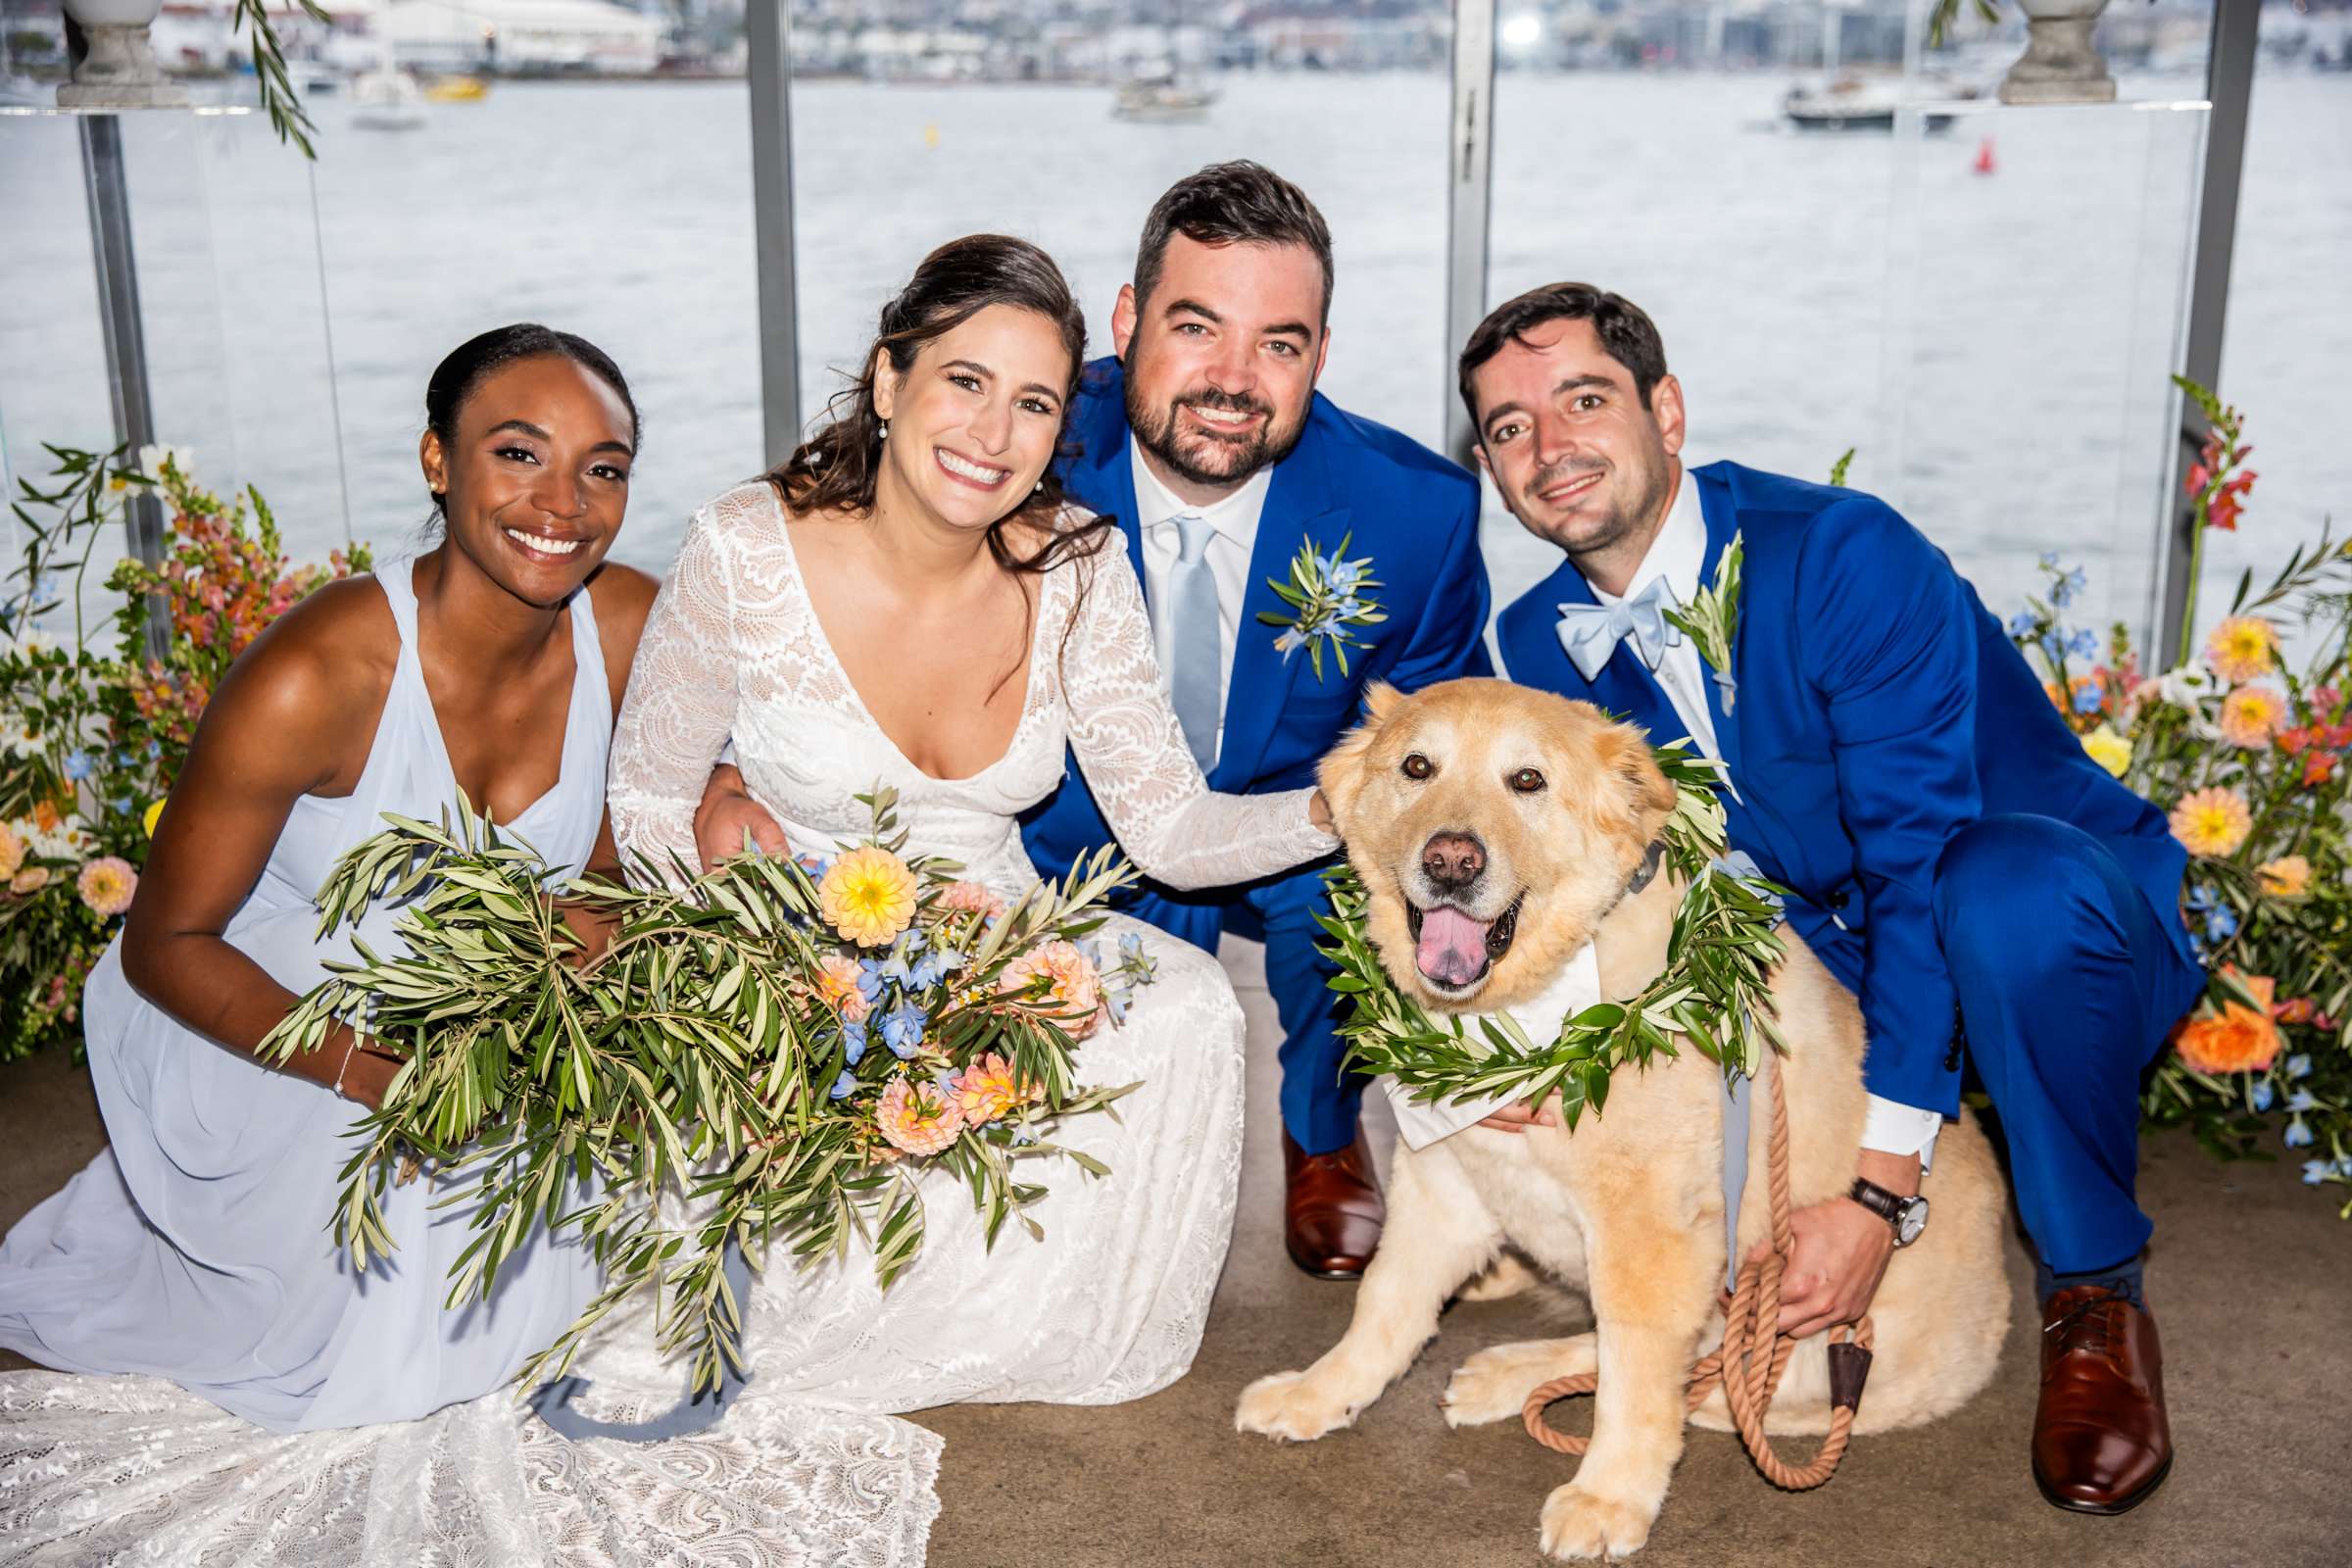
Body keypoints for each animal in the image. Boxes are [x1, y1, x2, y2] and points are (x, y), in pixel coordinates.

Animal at [1232, 681, 2003, 1560]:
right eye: (1417, 767)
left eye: (1527, 781)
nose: (1451, 861)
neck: (1529, 1016)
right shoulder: (1438, 1179)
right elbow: (1384, 1303)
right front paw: (1320, 1394)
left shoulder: (1652, 1234)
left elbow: (1635, 1376)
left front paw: (1610, 1494)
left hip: (1789, 1329)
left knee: (1696, 1372)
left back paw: (1512, 1374)